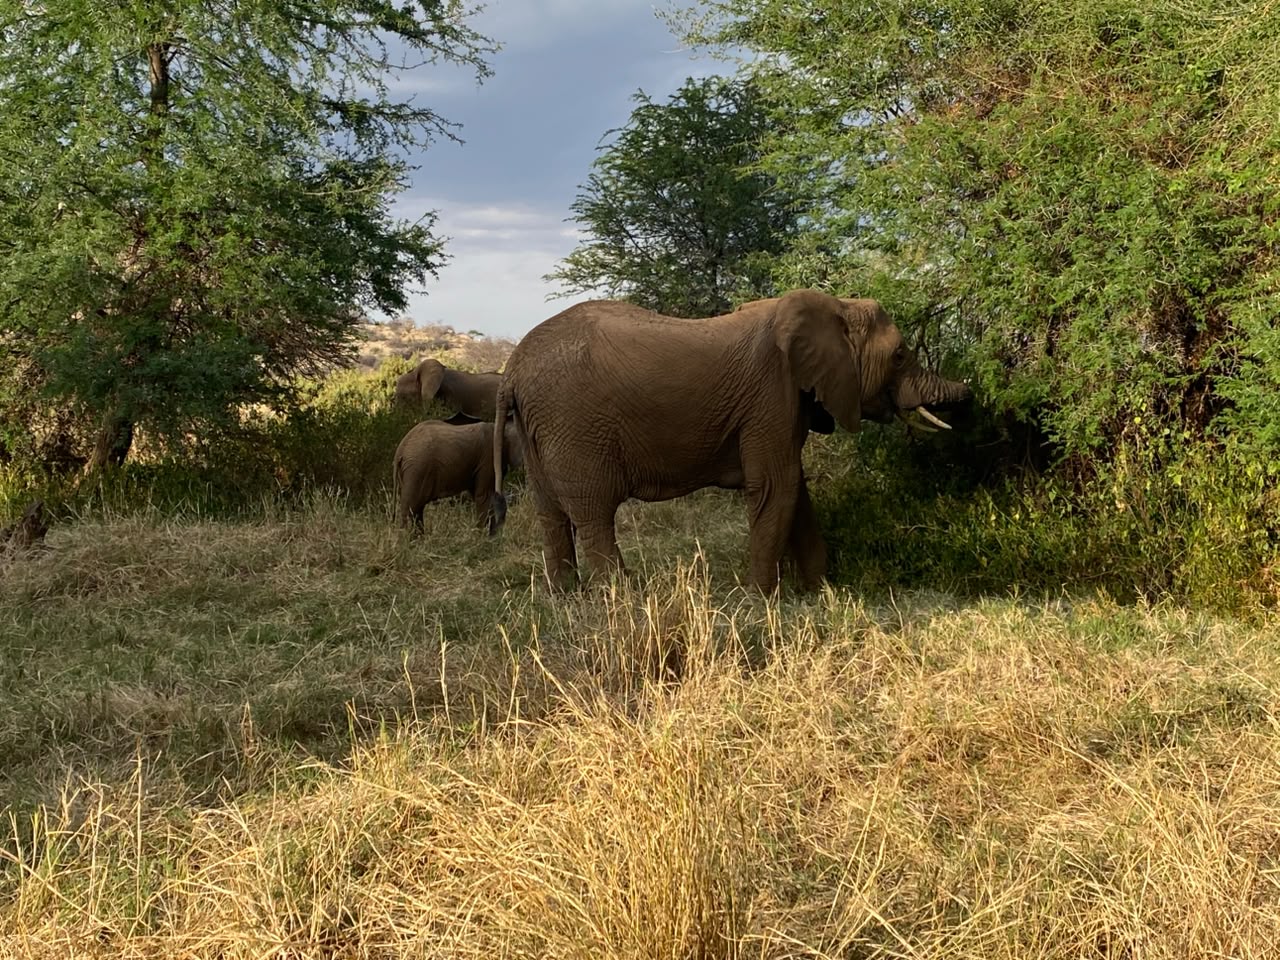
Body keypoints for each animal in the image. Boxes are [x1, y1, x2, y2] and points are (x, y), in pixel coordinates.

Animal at [393, 419, 523, 535]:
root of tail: (400, 450)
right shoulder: (487, 458)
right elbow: (484, 496)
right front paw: (482, 538)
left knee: (416, 510)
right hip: (417, 469)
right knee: (411, 508)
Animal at [491, 289, 970, 591]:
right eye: (900, 356)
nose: (972, 396)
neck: (833, 306)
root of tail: (511, 369)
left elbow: (795, 489)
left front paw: (820, 593)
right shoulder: (771, 394)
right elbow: (777, 486)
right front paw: (763, 601)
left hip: (539, 429)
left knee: (551, 513)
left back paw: (565, 597)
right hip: (572, 425)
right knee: (593, 513)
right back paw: (623, 599)